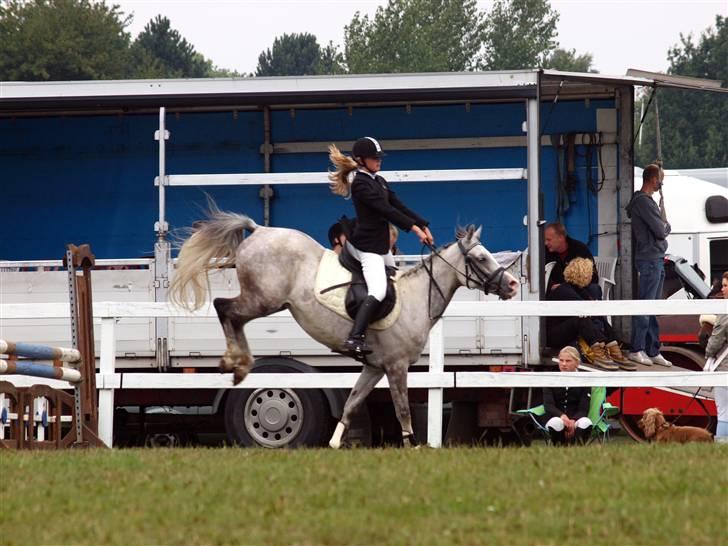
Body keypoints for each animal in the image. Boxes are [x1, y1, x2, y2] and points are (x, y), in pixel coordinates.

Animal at [170, 208, 516, 446]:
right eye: (481, 258)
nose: (512, 285)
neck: (417, 297)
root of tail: (260, 229)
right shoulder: (396, 366)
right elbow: (402, 408)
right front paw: (412, 445)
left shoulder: (374, 367)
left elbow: (351, 403)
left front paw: (335, 443)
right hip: (263, 300)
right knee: (224, 308)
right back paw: (237, 363)